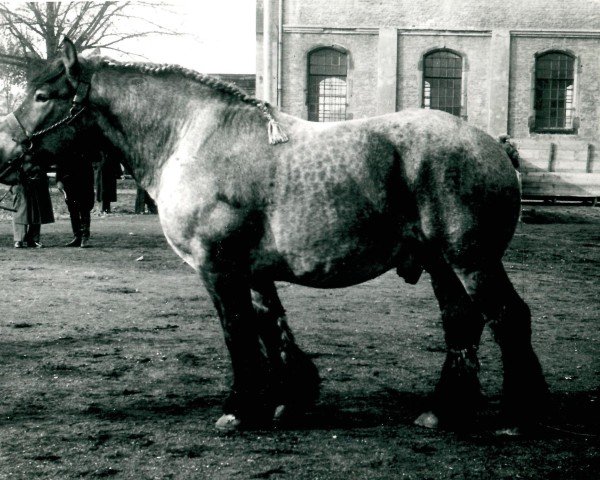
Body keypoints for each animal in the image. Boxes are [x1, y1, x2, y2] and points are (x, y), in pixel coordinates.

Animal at [0, 39, 548, 434]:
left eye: (42, 96)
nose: (6, 155)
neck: (191, 138)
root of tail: (492, 147)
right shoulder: (254, 270)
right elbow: (272, 327)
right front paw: (290, 398)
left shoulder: (218, 267)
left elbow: (238, 332)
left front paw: (240, 409)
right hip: (441, 264)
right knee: (461, 325)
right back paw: (442, 411)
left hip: (470, 259)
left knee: (507, 318)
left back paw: (516, 417)